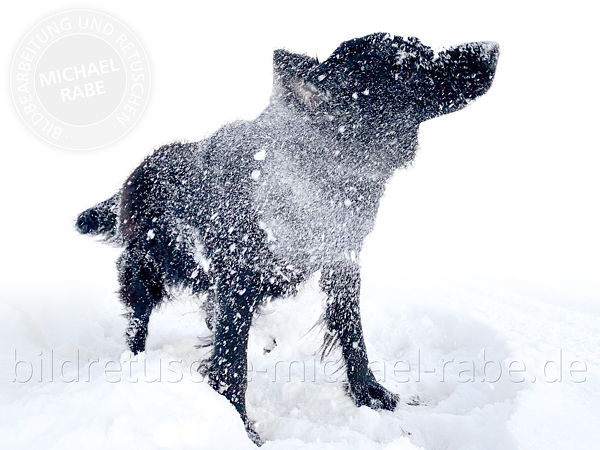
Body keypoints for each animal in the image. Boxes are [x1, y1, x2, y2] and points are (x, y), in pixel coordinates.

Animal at [76, 33, 496, 444]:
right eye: (410, 65)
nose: (491, 48)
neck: (324, 171)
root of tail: (133, 175)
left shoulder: (342, 260)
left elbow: (352, 331)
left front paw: (367, 391)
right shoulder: (239, 279)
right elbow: (232, 363)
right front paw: (240, 426)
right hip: (153, 267)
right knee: (138, 308)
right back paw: (136, 362)